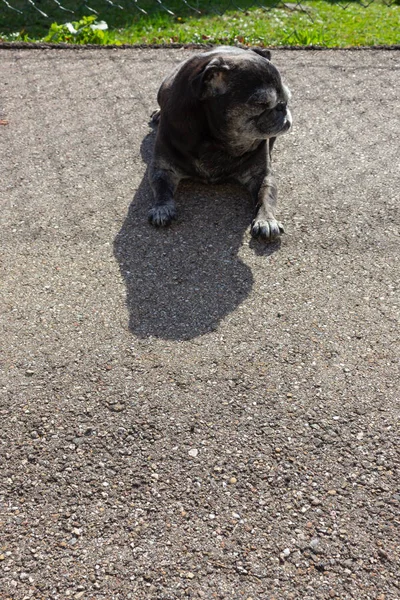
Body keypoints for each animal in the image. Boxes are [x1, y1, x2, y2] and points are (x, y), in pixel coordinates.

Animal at [148, 45, 292, 241]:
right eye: (261, 103)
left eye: (287, 98)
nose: (282, 106)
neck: (217, 141)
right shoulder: (162, 169)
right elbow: (161, 189)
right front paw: (162, 208)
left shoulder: (262, 176)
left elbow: (266, 197)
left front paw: (266, 220)